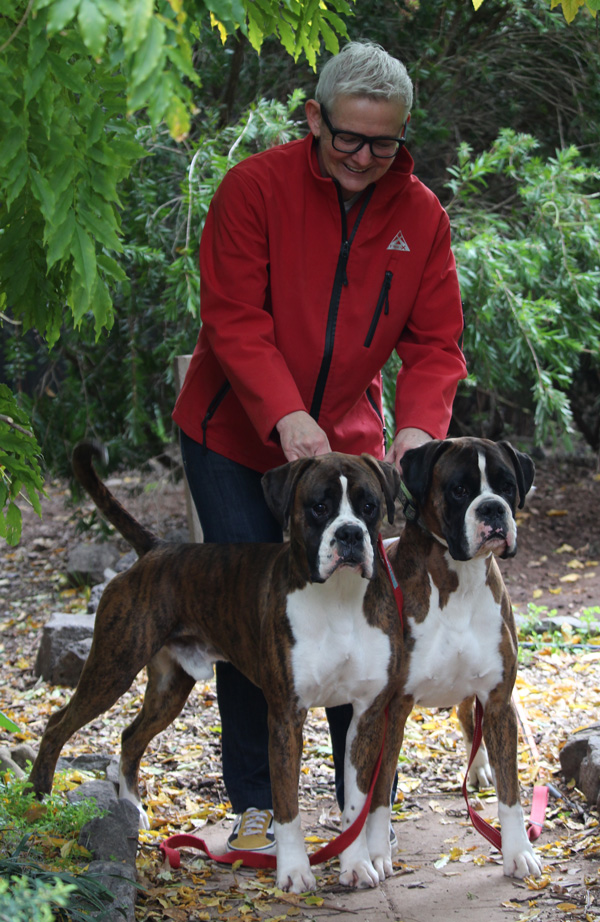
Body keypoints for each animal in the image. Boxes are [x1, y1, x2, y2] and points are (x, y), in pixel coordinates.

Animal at [31, 444, 408, 892]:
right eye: (319, 507)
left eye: (369, 506)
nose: (350, 534)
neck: (339, 599)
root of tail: (157, 548)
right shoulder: (286, 718)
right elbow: (287, 805)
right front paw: (294, 871)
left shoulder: (364, 717)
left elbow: (354, 804)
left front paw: (355, 864)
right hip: (113, 667)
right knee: (57, 724)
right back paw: (37, 800)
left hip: (169, 690)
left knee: (129, 736)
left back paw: (133, 809)